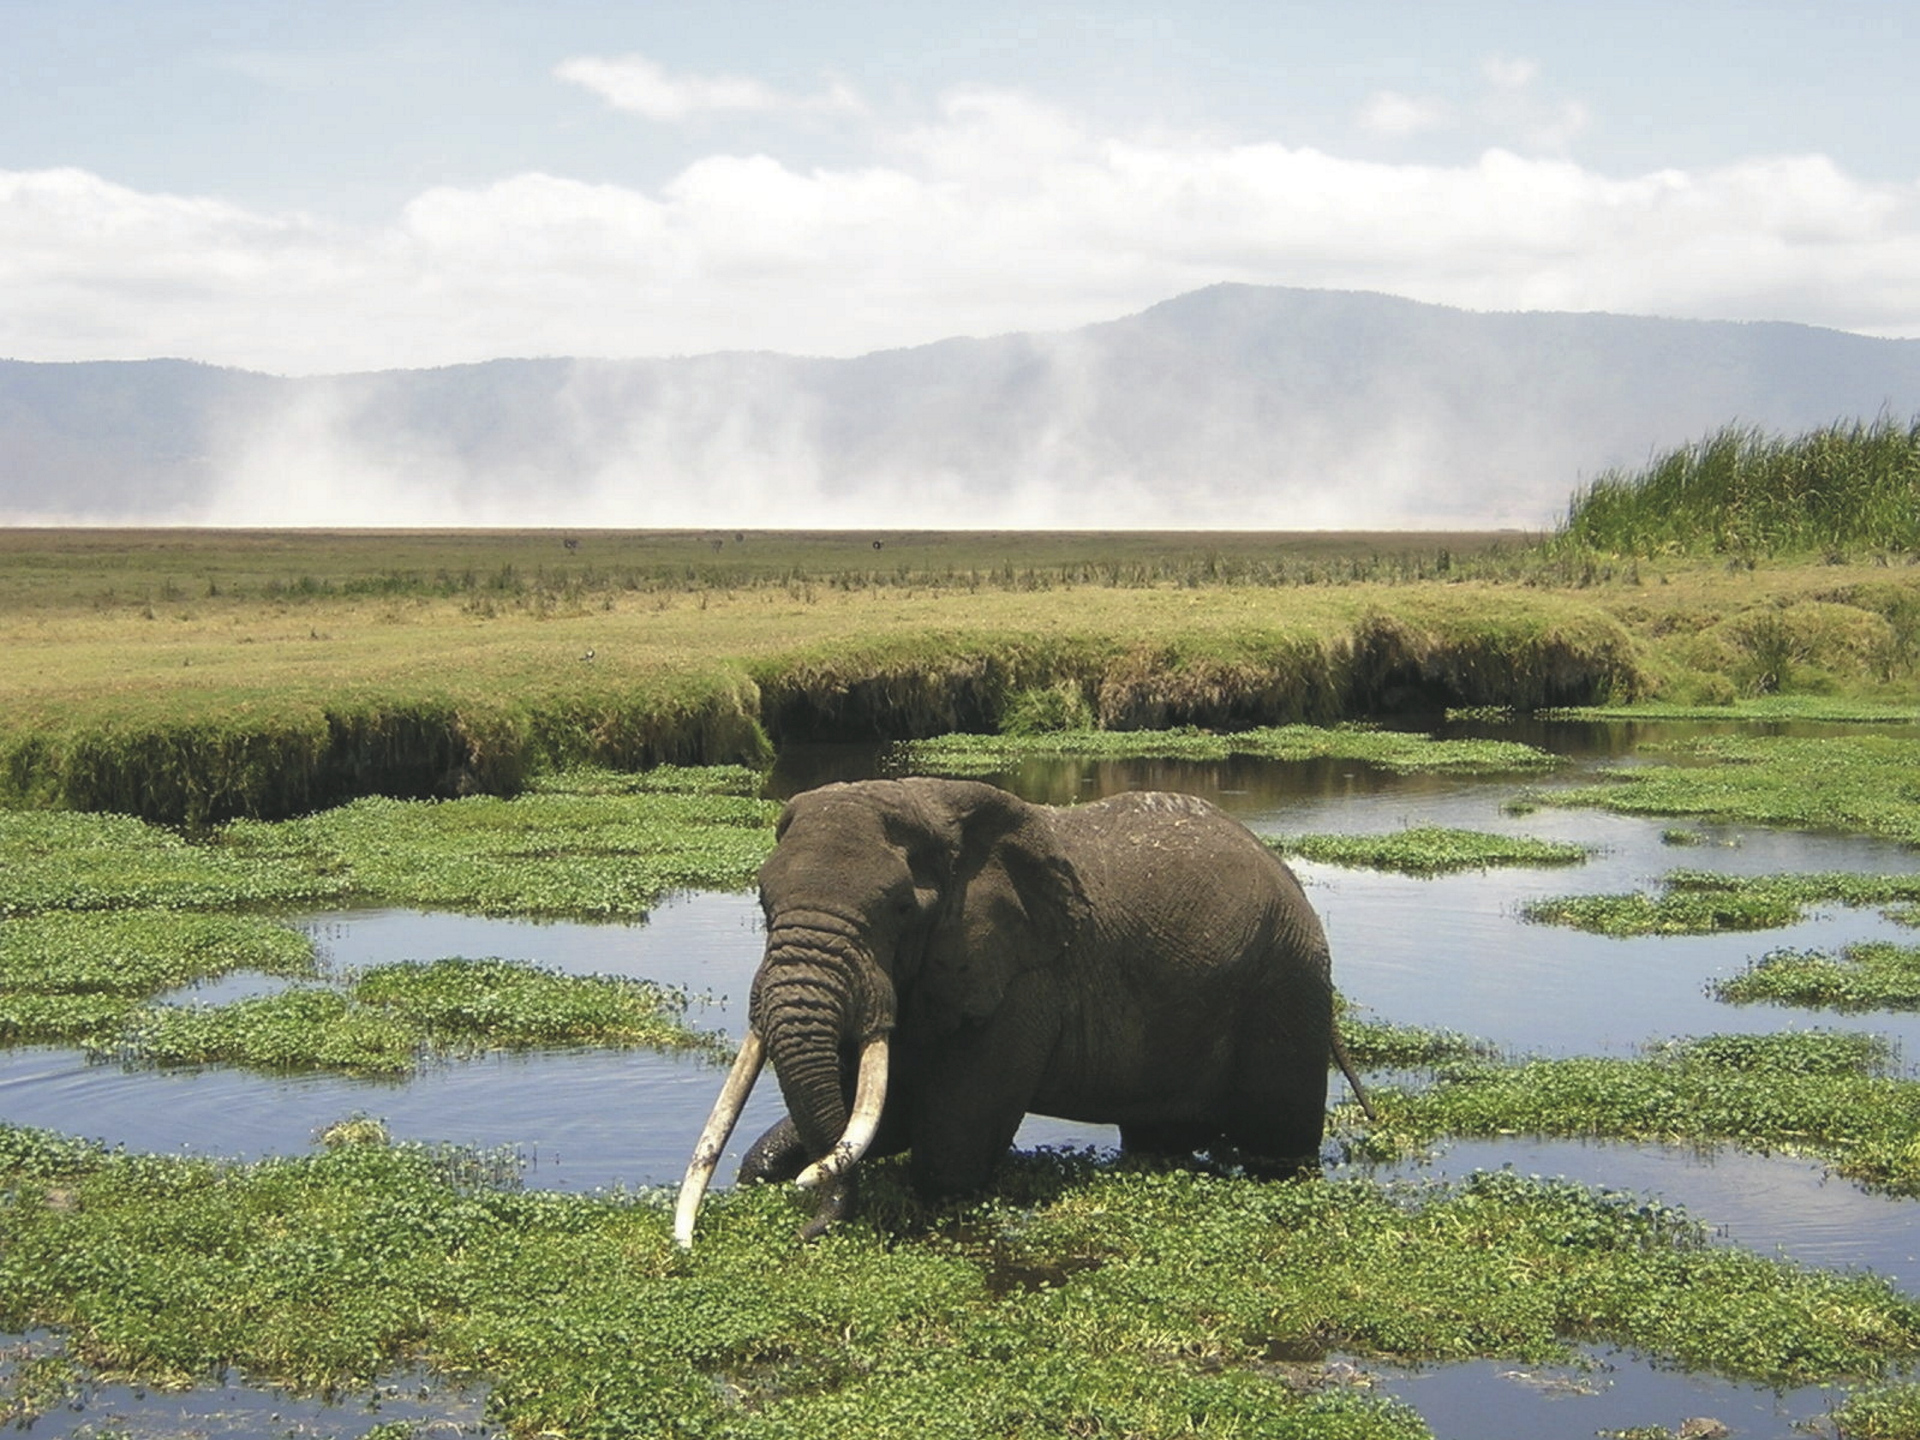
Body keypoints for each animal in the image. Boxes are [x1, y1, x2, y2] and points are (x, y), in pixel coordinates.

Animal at [672, 779, 1367, 1251]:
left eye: (901, 908)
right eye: (764, 902)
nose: (808, 1232)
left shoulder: (1021, 981)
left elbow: (943, 1148)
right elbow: (880, 1113)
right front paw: (771, 1170)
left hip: (1286, 983)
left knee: (1278, 1141)